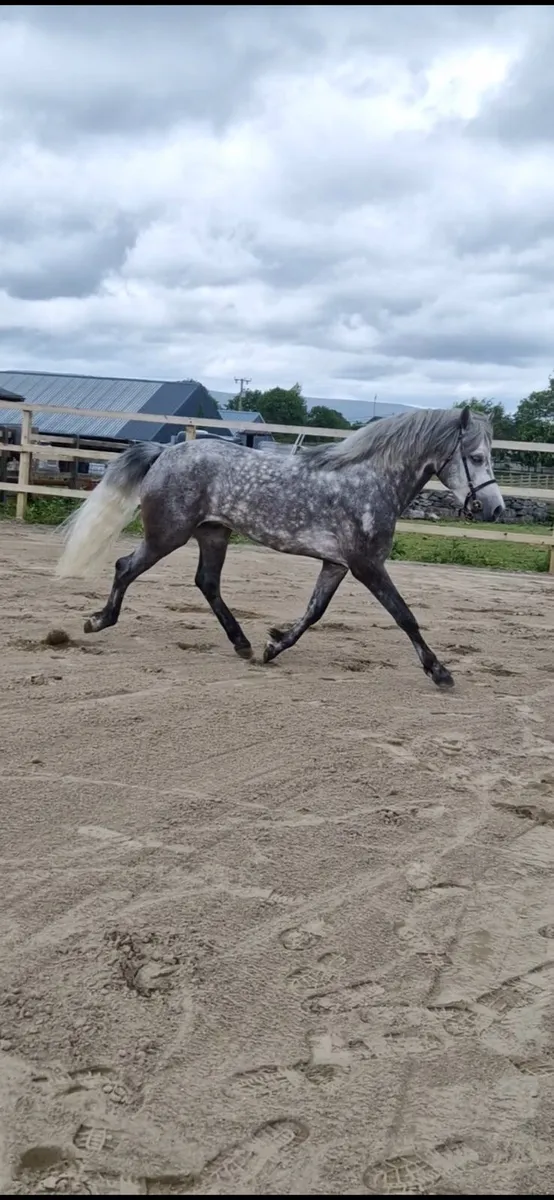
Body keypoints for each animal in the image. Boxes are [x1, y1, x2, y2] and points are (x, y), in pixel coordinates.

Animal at [55, 405, 505, 688]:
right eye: (476, 457)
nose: (495, 509)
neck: (368, 482)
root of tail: (166, 450)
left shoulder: (337, 564)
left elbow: (314, 612)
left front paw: (273, 646)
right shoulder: (367, 565)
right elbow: (405, 616)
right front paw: (440, 672)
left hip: (213, 534)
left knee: (207, 583)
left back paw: (242, 644)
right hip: (166, 536)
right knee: (125, 567)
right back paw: (97, 621)